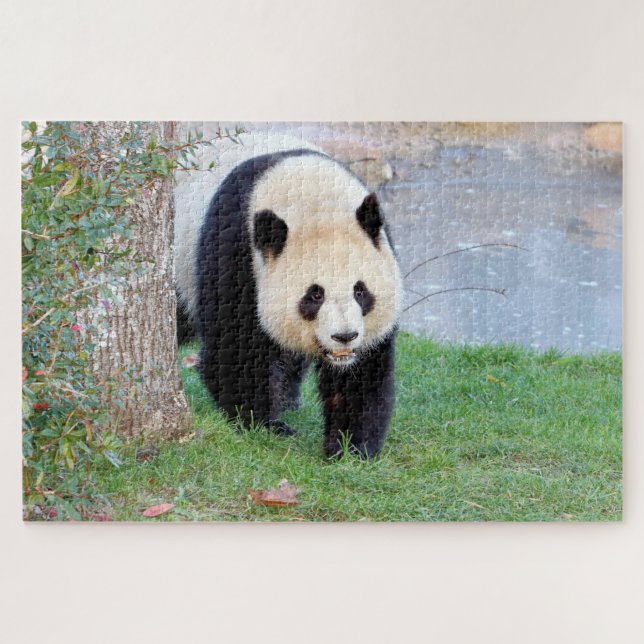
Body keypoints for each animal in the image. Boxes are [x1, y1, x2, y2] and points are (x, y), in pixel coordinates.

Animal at [175, 148, 403, 458]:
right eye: (315, 295)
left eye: (360, 291)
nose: (344, 336)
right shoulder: (235, 250)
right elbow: (235, 348)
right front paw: (263, 424)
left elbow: (362, 373)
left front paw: (350, 447)